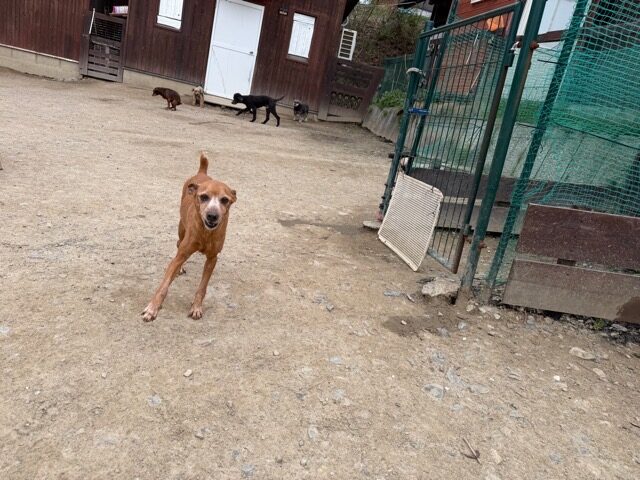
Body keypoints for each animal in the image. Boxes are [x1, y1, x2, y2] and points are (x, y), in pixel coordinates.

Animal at [141, 152, 237, 322]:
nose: (212, 215)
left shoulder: (212, 259)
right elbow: (163, 285)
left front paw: (196, 307)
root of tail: (202, 173)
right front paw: (152, 308)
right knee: (178, 244)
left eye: (225, 200)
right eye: (203, 197)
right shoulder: (181, 255)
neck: (206, 232)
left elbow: (202, 287)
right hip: (181, 229)